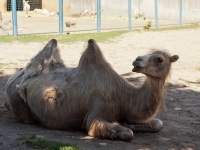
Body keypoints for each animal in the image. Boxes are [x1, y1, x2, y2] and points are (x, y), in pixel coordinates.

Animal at [5, 38, 179, 142]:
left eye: (159, 59)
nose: (137, 61)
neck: (123, 96)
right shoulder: (97, 110)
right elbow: (127, 134)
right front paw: (124, 127)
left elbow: (157, 124)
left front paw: (126, 123)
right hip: (17, 100)